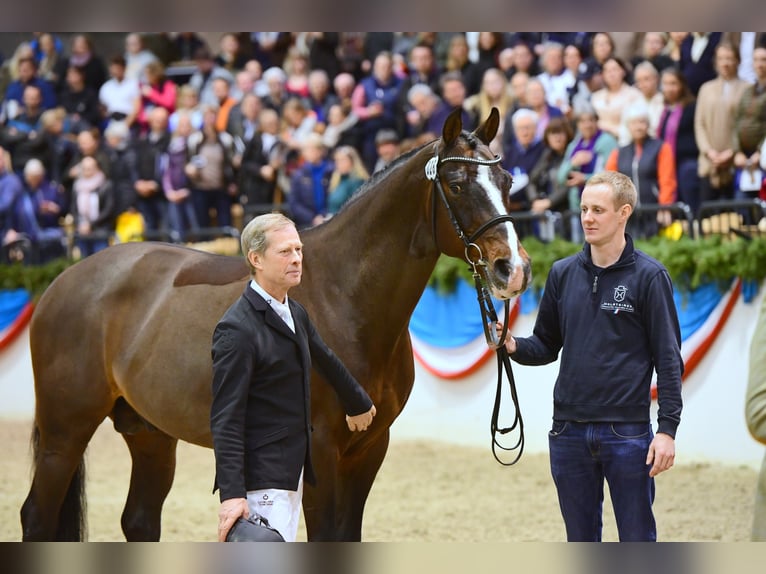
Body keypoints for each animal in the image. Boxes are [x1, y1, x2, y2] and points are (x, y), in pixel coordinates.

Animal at [21, 109, 532, 544]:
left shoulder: (370, 448)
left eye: (506, 180)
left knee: (140, 520)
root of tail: (62, 281)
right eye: (457, 183)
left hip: (149, 434)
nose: (514, 269)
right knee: (37, 517)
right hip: (65, 434)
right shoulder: (320, 453)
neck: (345, 295)